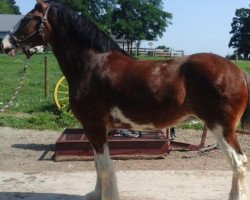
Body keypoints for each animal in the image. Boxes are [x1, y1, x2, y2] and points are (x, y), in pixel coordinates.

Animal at [1, 0, 250, 199]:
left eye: (29, 18)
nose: (5, 45)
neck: (91, 64)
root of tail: (237, 70)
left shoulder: (95, 125)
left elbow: (104, 166)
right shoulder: (93, 128)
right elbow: (97, 163)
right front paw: (95, 194)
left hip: (221, 127)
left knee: (238, 163)